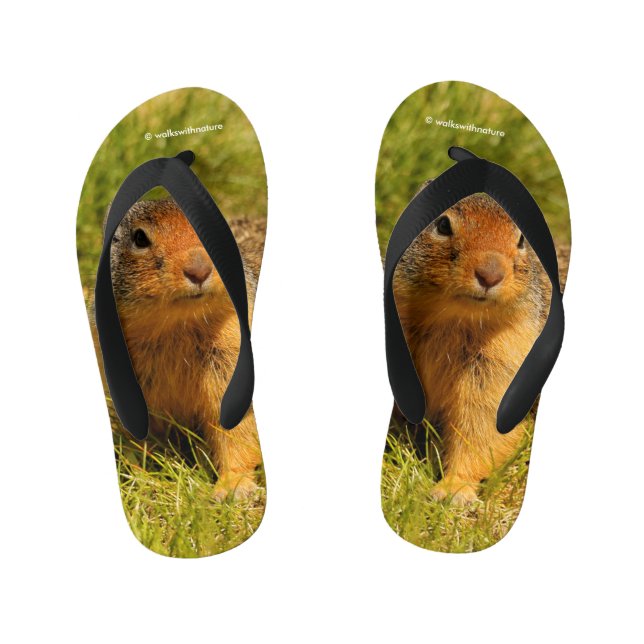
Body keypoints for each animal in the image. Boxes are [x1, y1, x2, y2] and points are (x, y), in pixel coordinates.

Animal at [94, 198, 265, 501]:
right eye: (140, 238)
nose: (199, 269)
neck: (176, 325)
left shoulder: (230, 361)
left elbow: (236, 431)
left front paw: (232, 487)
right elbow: (142, 437)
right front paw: (138, 475)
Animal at [392, 190, 567, 505]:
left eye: (522, 239)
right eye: (443, 225)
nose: (490, 274)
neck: (455, 318)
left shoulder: (500, 366)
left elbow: (480, 428)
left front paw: (453, 489)